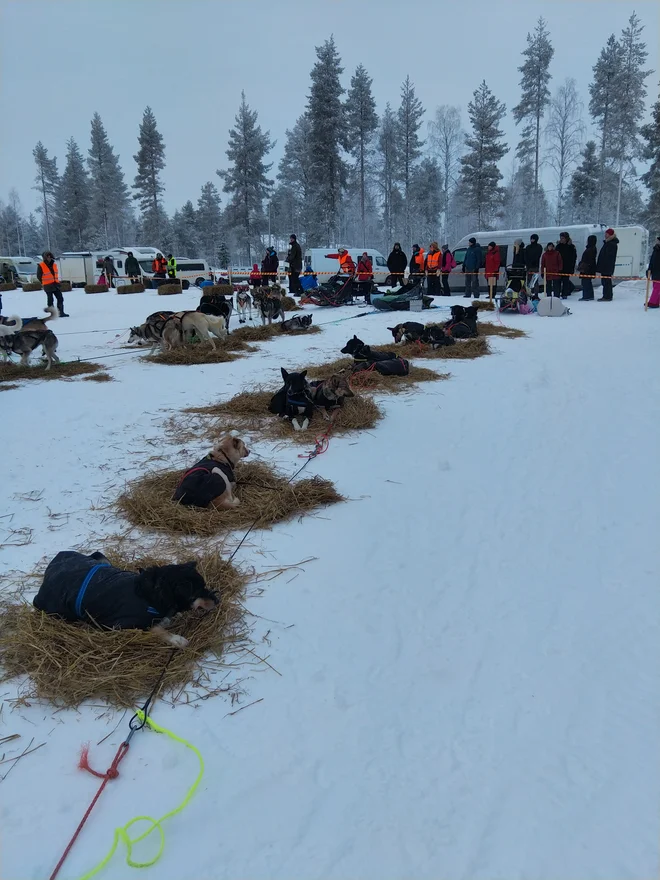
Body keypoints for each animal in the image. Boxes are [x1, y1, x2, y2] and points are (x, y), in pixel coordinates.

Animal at [33, 552, 217, 648]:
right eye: (198, 591)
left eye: (205, 585)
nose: (218, 599)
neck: (150, 595)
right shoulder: (119, 626)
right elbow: (156, 629)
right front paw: (177, 639)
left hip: (100, 557)